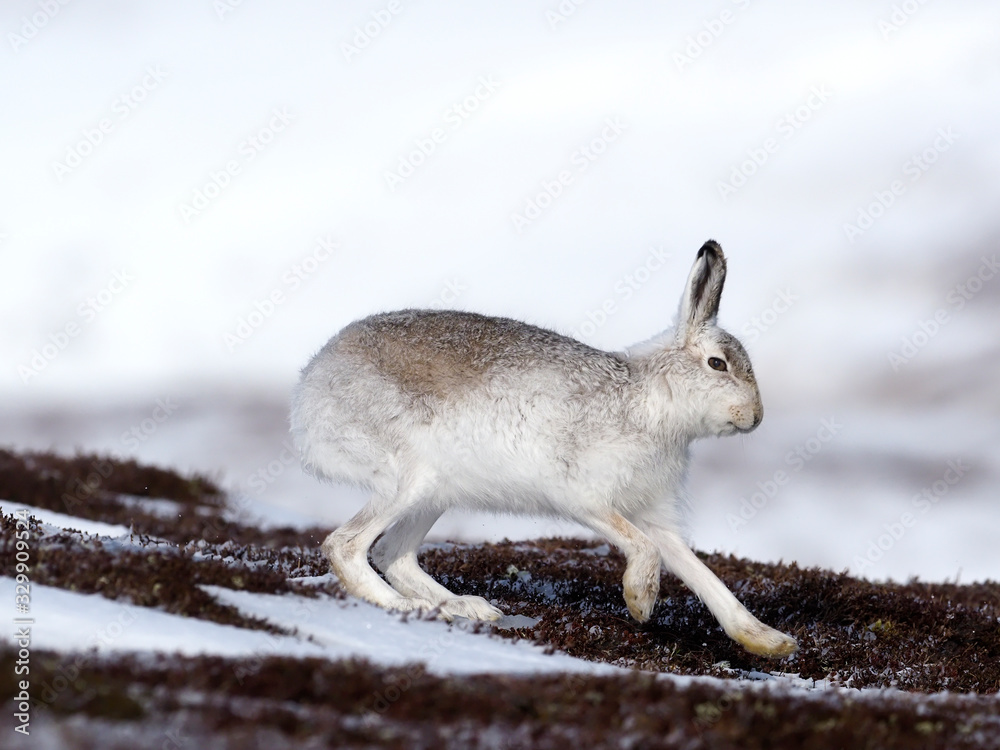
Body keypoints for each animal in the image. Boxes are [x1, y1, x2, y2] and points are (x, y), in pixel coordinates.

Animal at [290, 240, 798, 658]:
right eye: (718, 364)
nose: (756, 417)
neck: (652, 401)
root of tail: (311, 388)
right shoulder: (585, 497)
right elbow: (645, 548)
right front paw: (640, 601)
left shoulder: (655, 512)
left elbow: (702, 575)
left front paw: (769, 641)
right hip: (407, 479)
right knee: (346, 546)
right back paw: (407, 608)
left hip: (435, 492)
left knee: (393, 554)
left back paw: (465, 607)